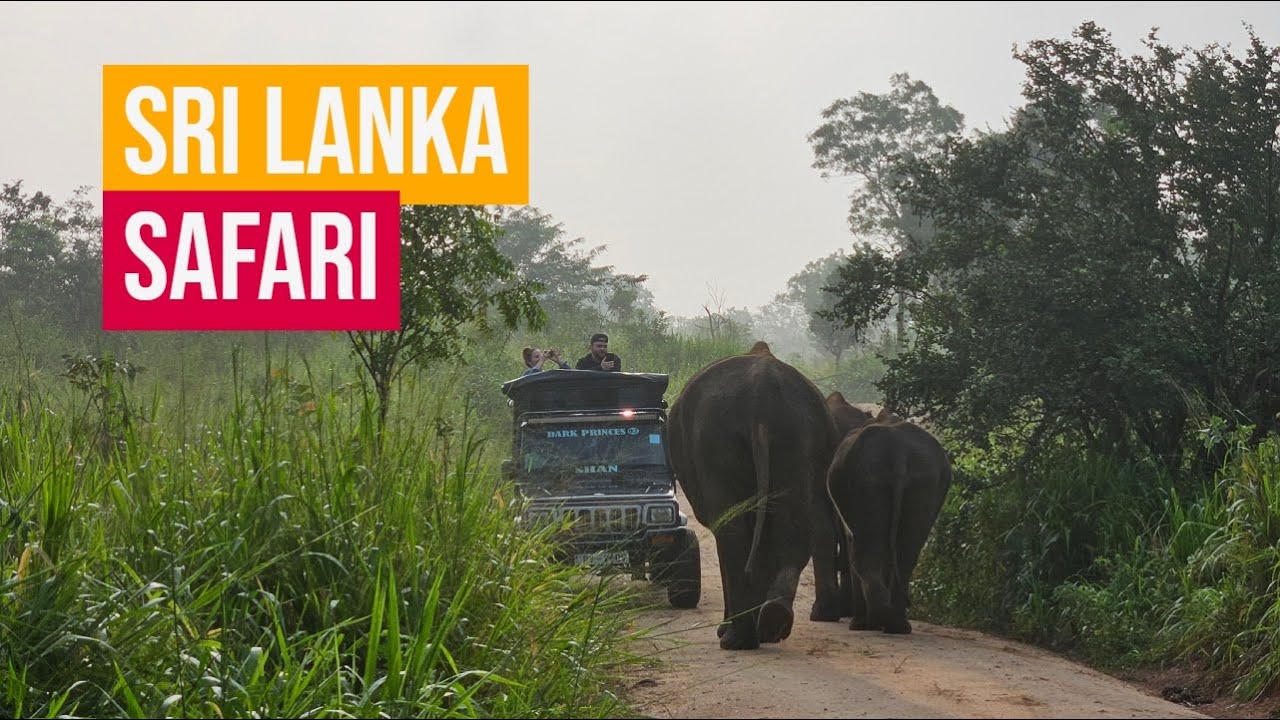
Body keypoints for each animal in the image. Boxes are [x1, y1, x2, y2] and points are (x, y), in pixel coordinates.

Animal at [666, 341, 847, 650]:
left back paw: (737, 638)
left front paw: (726, 631)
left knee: (731, 530)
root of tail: (761, 404)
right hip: (798, 438)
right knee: (793, 527)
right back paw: (773, 621)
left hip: (715, 443)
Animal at [823, 392, 951, 635]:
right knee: (906, 552)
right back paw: (896, 625)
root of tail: (898, 454)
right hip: (925, 483)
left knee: (866, 552)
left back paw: (871, 622)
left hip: (867, 484)